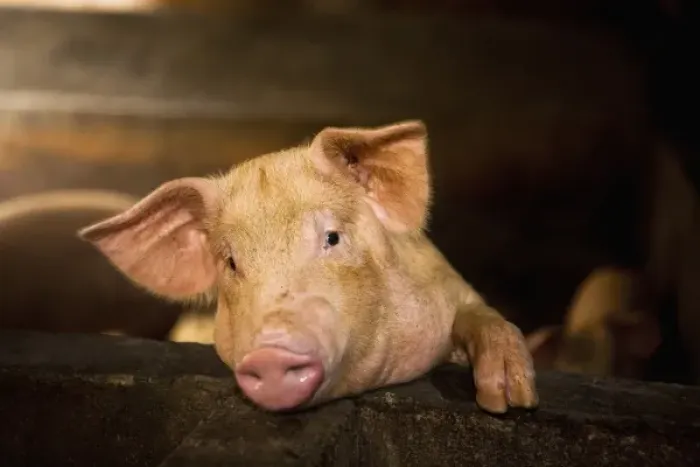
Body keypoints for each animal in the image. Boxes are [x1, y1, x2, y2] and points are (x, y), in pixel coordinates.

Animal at [78, 120, 539, 413]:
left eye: (332, 237)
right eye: (231, 262)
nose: (271, 354)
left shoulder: (449, 284)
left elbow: (482, 316)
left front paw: (510, 401)